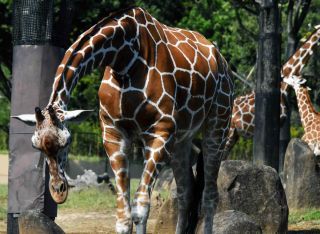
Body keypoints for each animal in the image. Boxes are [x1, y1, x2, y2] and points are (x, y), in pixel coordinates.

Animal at [13, 6, 234, 233]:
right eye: (36, 146)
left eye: (67, 143)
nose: (58, 191)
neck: (123, 57)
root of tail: (222, 62)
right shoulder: (113, 133)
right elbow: (123, 217)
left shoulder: (160, 131)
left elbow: (140, 208)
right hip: (182, 139)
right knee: (186, 193)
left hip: (219, 123)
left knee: (210, 194)